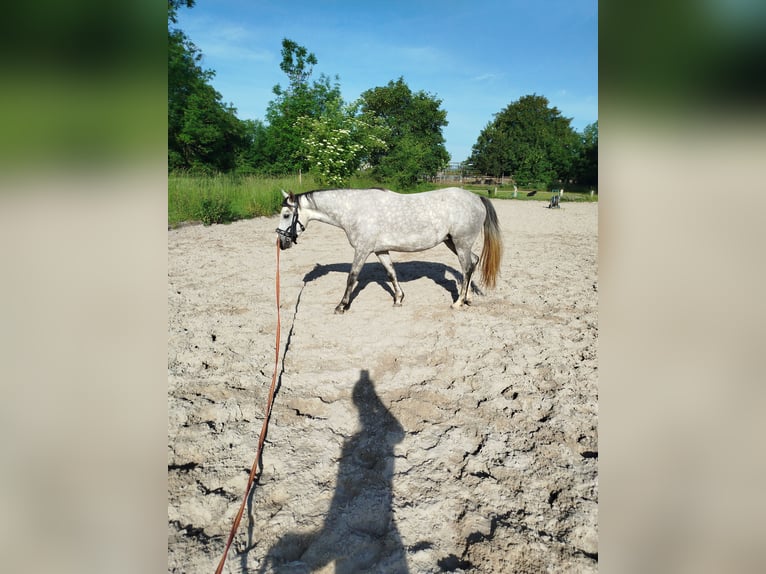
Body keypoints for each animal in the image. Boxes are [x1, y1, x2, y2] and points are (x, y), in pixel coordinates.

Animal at [276, 187, 503, 314]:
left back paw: (458, 303)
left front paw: (341, 306)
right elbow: (391, 273)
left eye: (286, 215)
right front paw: (399, 299)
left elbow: (352, 277)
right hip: (453, 243)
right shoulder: (380, 251)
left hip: (461, 242)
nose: (281, 243)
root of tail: (476, 198)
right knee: (473, 262)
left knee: (467, 267)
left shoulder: (362, 249)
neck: (354, 209)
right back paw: (467, 298)